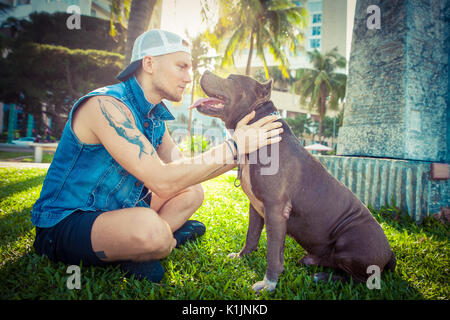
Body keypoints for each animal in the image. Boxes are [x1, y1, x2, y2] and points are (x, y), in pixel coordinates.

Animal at [192, 71, 396, 294]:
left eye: (231, 80)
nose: (204, 72)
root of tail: (391, 254)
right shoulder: (256, 206)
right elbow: (252, 235)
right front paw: (241, 257)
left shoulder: (275, 209)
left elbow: (273, 251)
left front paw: (269, 283)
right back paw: (313, 263)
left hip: (351, 241)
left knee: (361, 279)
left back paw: (325, 277)